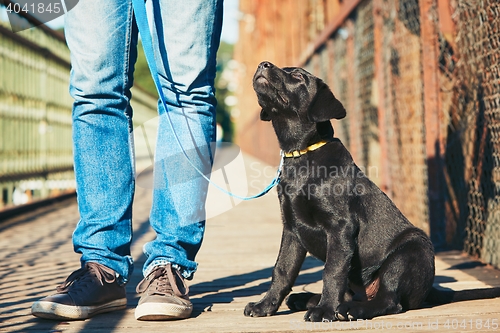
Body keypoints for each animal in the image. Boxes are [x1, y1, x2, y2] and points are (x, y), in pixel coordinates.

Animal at [244, 61, 500, 320]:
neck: (302, 154)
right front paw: (265, 306)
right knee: (352, 294)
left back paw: (349, 309)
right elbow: (282, 270)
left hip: (409, 251)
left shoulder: (340, 227)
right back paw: (306, 299)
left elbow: (332, 272)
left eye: (297, 76)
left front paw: (325, 310)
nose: (263, 64)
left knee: (389, 301)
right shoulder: (292, 230)